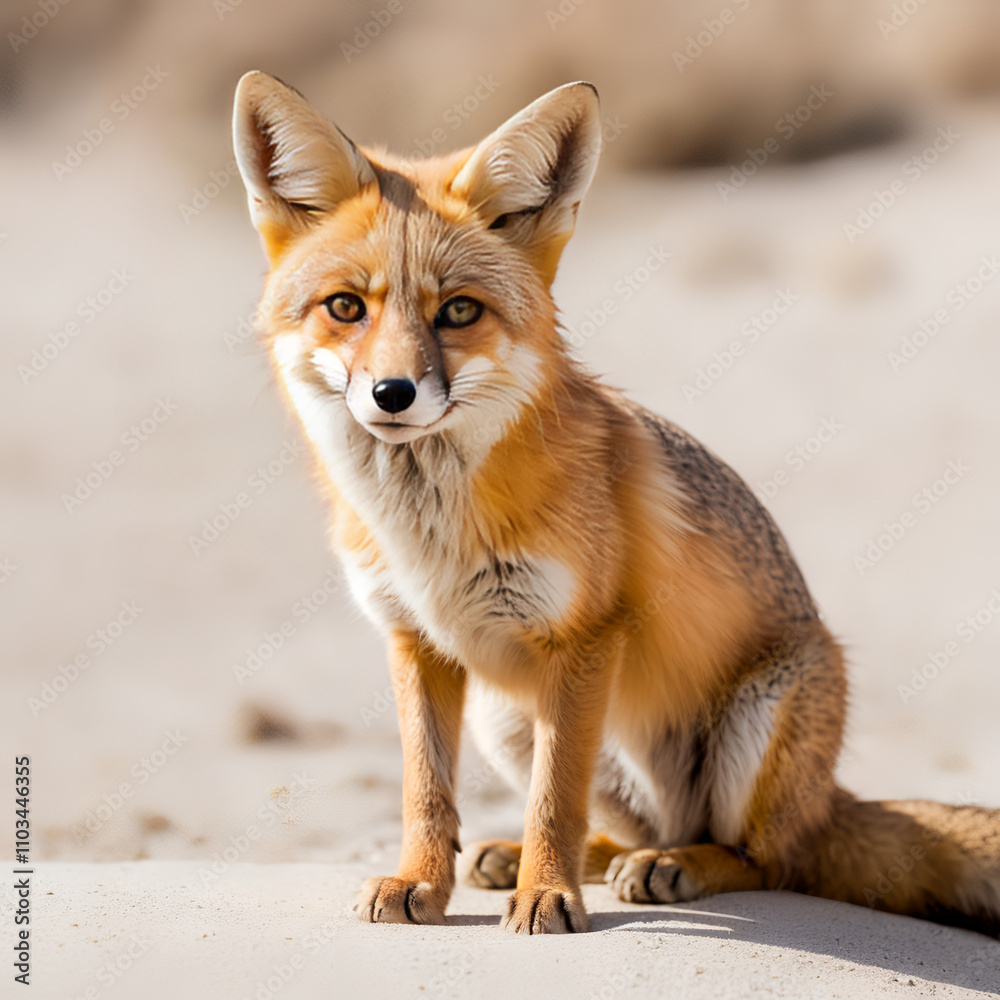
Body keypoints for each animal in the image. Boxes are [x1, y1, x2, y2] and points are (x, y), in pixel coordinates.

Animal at [231, 71, 1000, 936]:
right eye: (345, 307)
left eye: (458, 311)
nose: (392, 394)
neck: (426, 535)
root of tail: (828, 797)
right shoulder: (416, 640)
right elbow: (426, 792)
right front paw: (421, 883)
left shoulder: (586, 638)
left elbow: (554, 801)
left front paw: (547, 897)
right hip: (509, 718)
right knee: (636, 829)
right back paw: (558, 858)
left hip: (756, 719)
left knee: (765, 860)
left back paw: (670, 867)